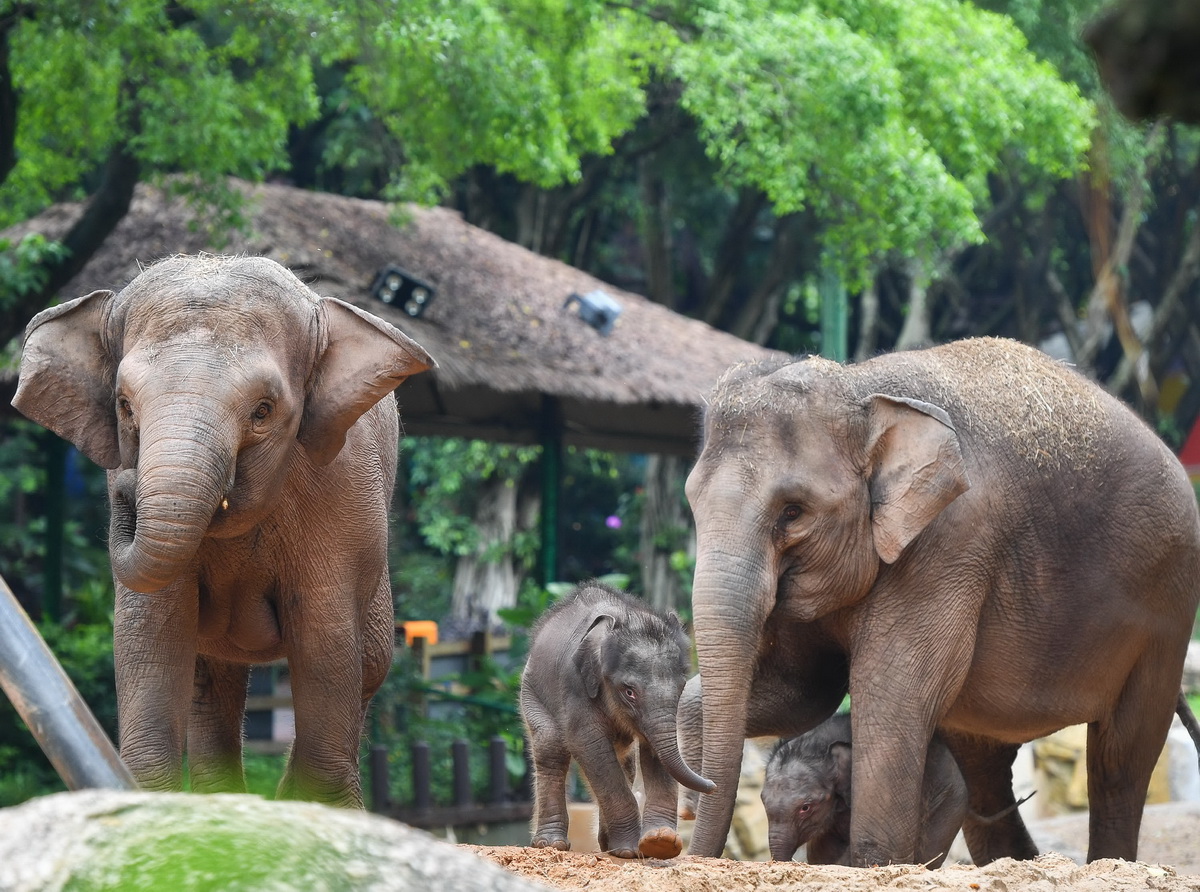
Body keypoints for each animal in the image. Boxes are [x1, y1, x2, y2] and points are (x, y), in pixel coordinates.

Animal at [10, 254, 436, 806]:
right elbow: (149, 637)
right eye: (124, 405)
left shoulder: (343, 498)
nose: (124, 487)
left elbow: (326, 647)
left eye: (263, 410)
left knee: (367, 667)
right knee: (209, 682)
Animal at [518, 583, 710, 859]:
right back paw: (551, 844)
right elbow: (589, 744)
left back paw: (607, 845)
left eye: (681, 686)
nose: (712, 785)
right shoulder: (574, 683)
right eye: (629, 691)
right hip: (531, 692)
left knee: (625, 763)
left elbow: (652, 751)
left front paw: (660, 843)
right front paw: (630, 850)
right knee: (551, 749)